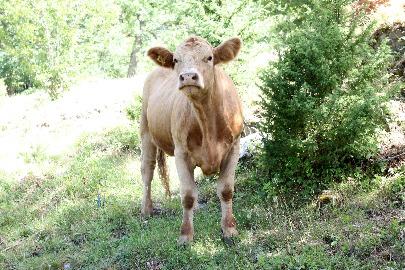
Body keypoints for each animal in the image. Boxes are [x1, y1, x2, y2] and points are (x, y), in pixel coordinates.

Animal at [140, 36, 243, 245]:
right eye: (175, 60)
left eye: (209, 57)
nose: (188, 76)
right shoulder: (181, 153)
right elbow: (187, 195)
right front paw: (185, 236)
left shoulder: (234, 147)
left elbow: (226, 190)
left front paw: (229, 229)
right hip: (145, 130)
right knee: (147, 170)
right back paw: (146, 209)